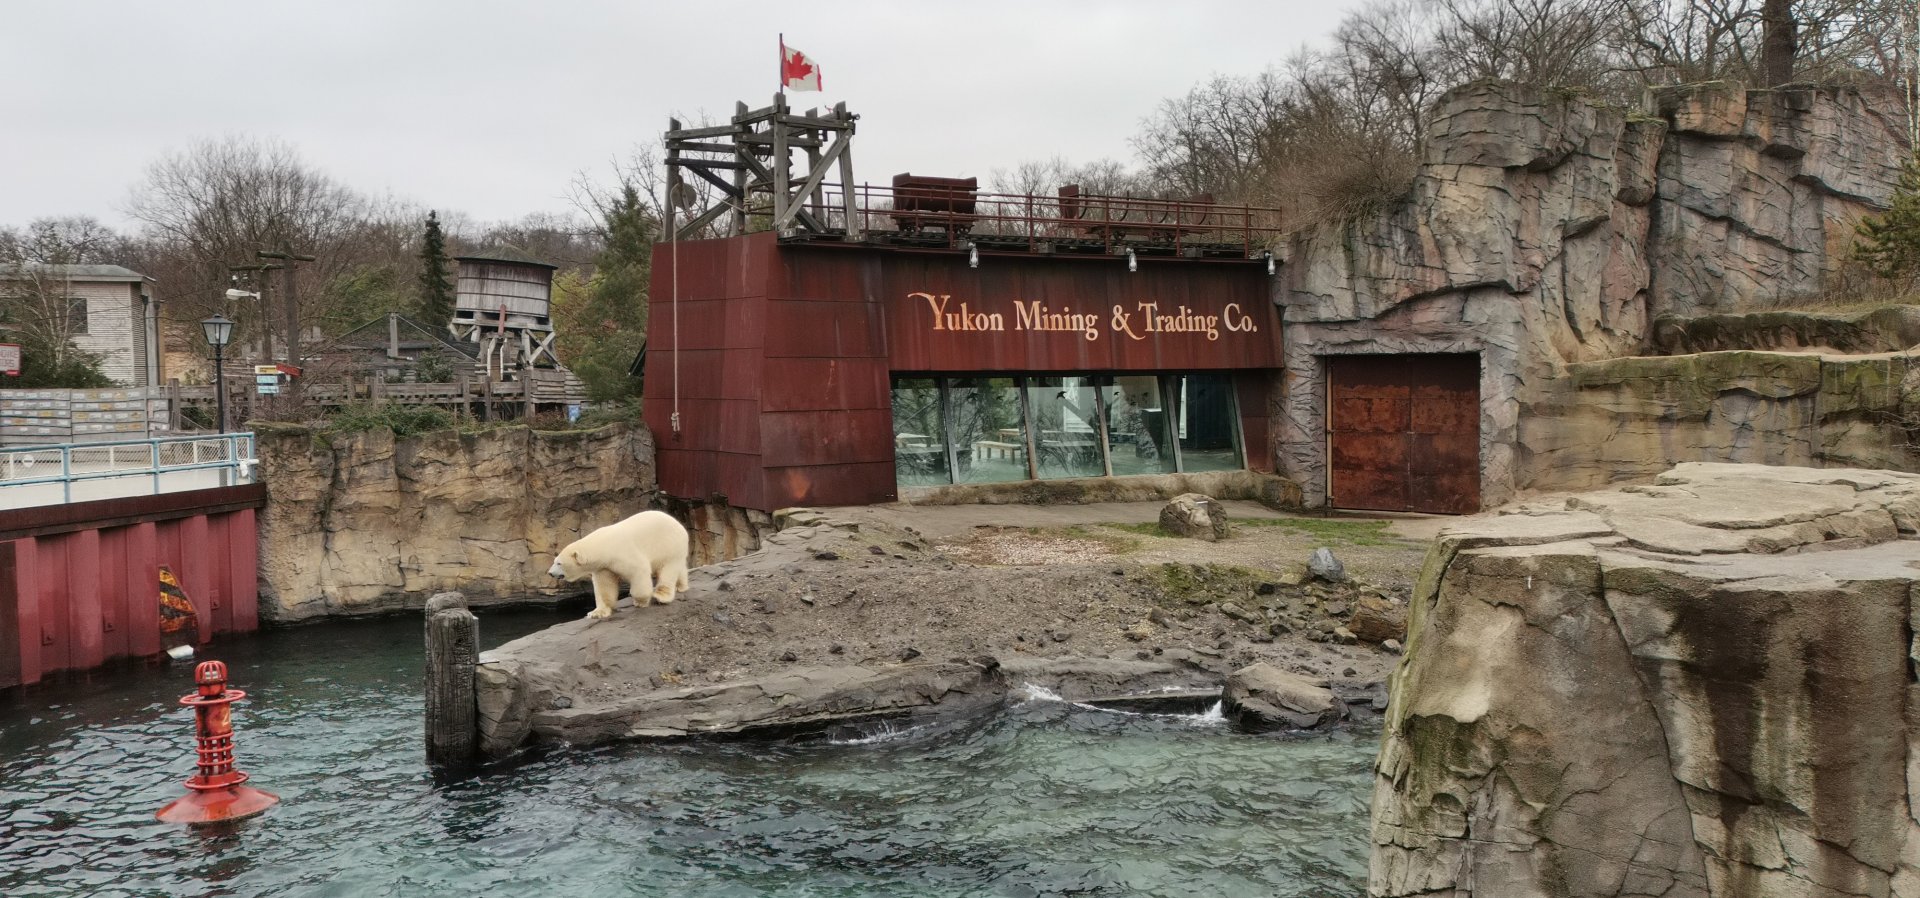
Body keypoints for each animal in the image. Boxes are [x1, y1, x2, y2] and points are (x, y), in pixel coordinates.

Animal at [546, 510, 691, 620]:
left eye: (559, 563)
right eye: (554, 561)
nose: (550, 573)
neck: (604, 546)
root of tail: (680, 525)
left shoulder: (623, 553)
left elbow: (639, 570)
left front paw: (640, 601)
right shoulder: (603, 566)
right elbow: (604, 586)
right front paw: (596, 613)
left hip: (669, 545)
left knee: (668, 569)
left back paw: (661, 595)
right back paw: (681, 586)